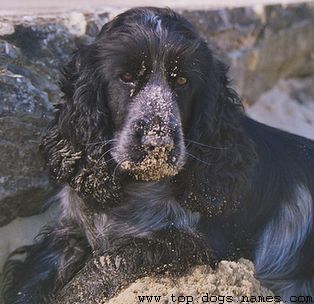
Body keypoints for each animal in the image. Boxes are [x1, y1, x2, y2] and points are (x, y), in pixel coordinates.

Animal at [3, 5, 314, 302]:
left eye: (183, 81)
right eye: (127, 77)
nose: (158, 142)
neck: (135, 190)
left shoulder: (197, 243)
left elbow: (109, 266)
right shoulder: (68, 231)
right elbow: (32, 280)